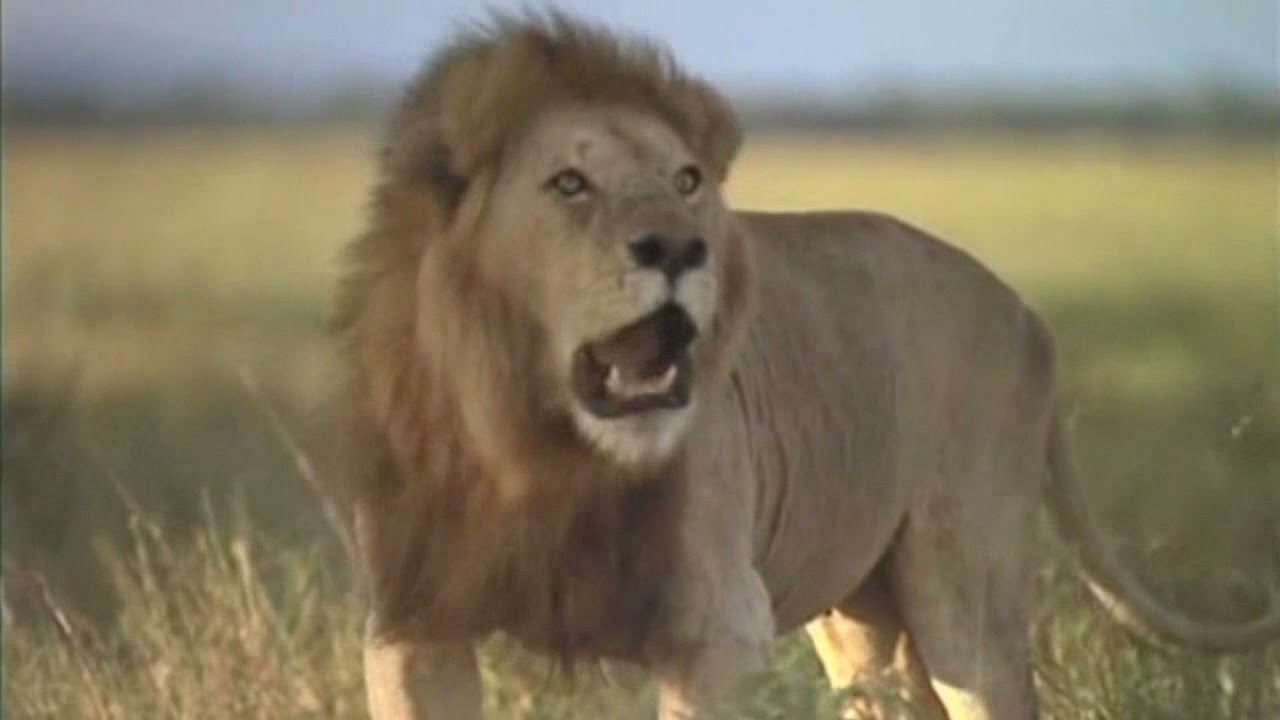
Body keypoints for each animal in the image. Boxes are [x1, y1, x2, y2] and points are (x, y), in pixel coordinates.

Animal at [332, 12, 1280, 720]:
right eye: (568, 184)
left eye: (687, 181)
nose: (681, 247)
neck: (534, 446)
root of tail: (1026, 307)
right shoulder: (413, 627)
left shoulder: (721, 626)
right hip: (863, 616)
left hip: (963, 587)